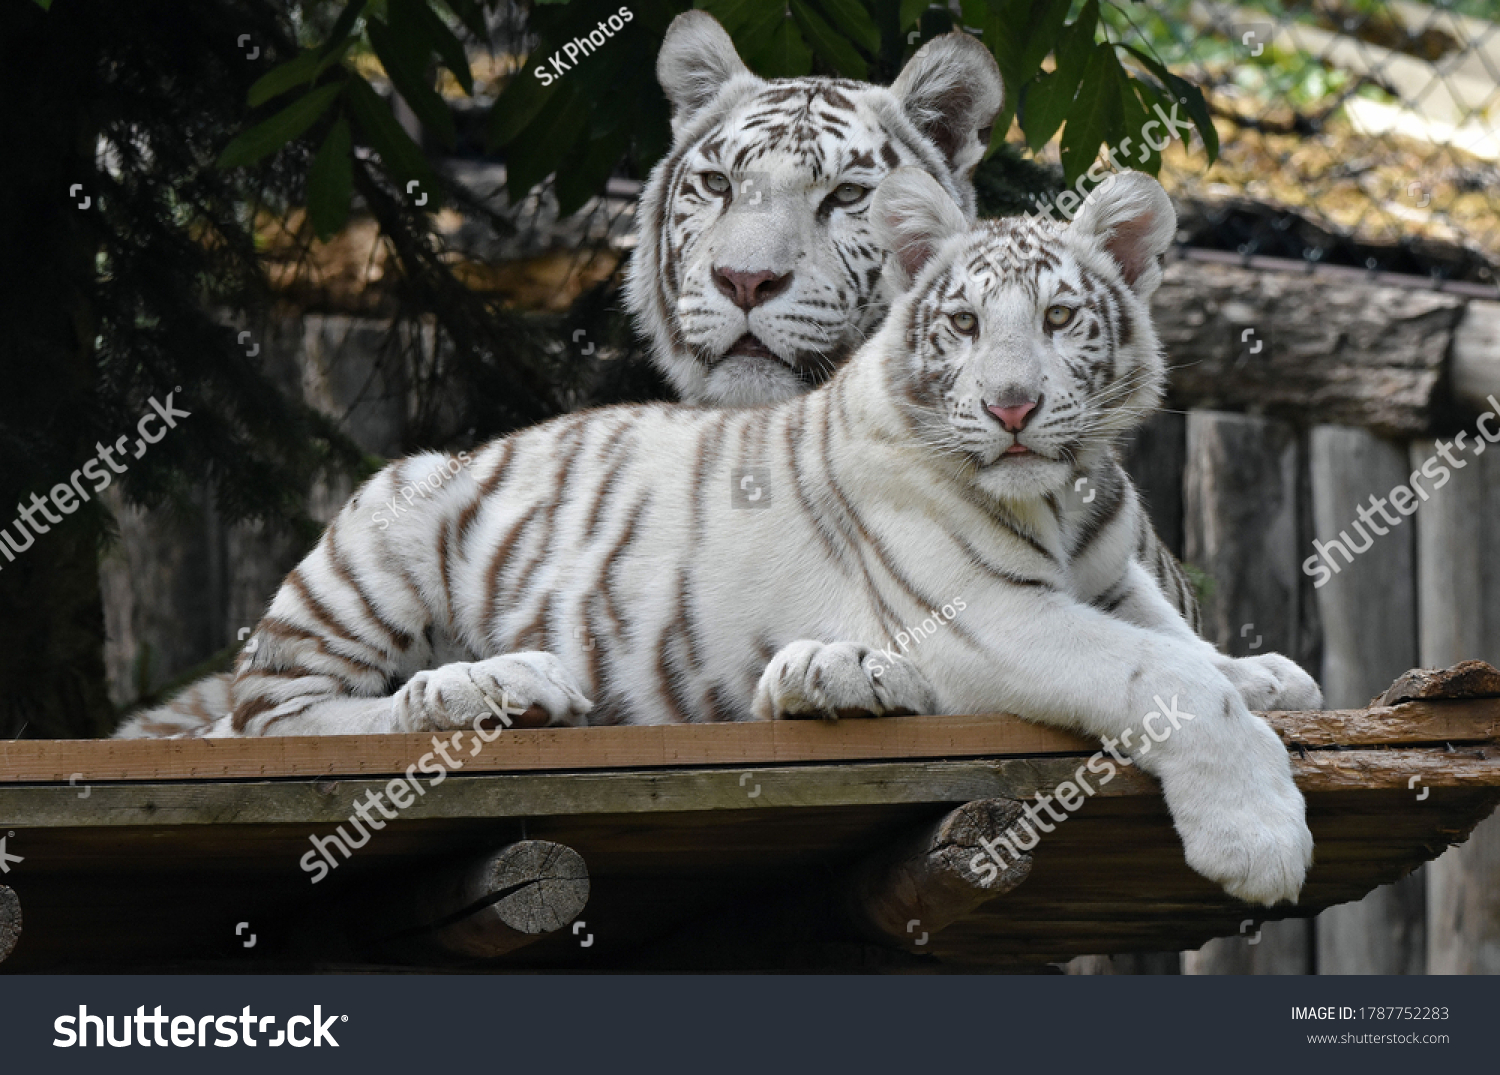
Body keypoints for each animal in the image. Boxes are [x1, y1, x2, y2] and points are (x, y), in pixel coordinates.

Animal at [117, 165, 1320, 905]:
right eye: (966, 324)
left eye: (1062, 319)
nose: (1014, 404)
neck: (1063, 502)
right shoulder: (987, 614)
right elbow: (1162, 675)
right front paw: (1260, 836)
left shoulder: (1114, 580)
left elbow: (1186, 645)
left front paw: (1267, 673)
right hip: (386, 527)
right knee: (282, 714)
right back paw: (491, 686)